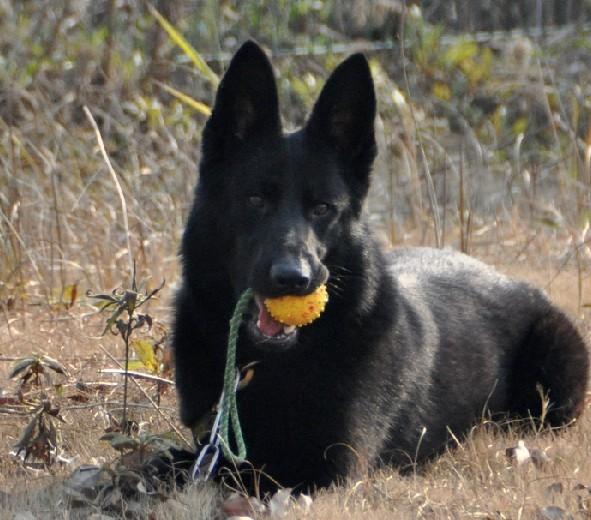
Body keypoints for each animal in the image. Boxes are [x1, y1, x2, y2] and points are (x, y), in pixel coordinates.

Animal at [173, 40, 588, 492]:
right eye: (255, 200)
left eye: (323, 208)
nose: (294, 278)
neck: (272, 363)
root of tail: (508, 278)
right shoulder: (208, 446)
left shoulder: (327, 470)